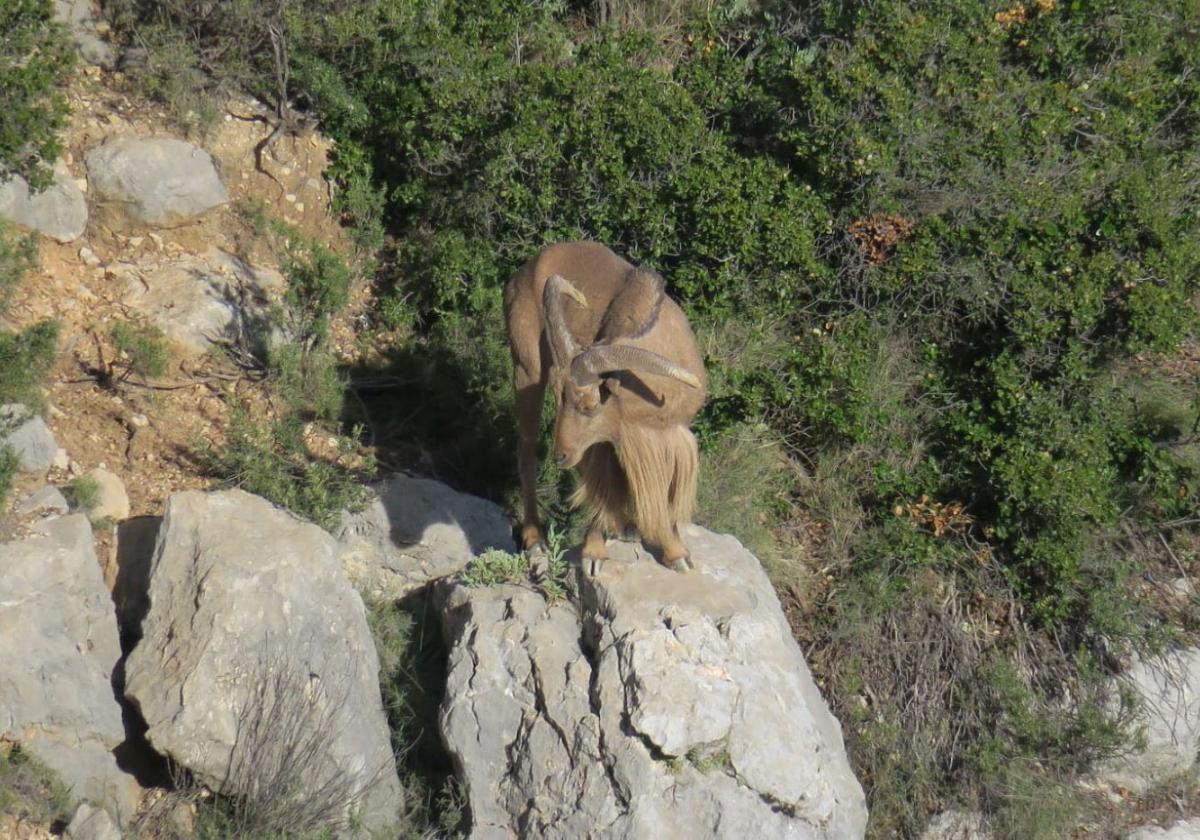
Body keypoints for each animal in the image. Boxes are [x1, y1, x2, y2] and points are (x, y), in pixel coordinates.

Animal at [501, 240, 705, 573]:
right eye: (559, 395)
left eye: (588, 404)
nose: (560, 455)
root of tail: (524, 270)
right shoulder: (608, 439)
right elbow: (604, 485)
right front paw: (594, 554)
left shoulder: (661, 436)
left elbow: (662, 494)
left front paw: (677, 553)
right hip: (526, 368)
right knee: (526, 448)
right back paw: (535, 539)